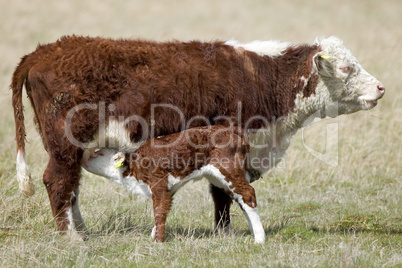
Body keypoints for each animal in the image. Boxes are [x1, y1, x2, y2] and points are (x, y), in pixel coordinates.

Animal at [83, 125, 266, 243]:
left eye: (99, 153)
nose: (85, 159)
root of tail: (230, 129)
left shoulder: (158, 184)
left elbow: (159, 212)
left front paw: (158, 241)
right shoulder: (168, 189)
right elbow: (163, 210)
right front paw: (154, 235)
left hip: (228, 170)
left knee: (248, 193)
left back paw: (259, 238)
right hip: (221, 178)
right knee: (241, 199)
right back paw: (253, 231)